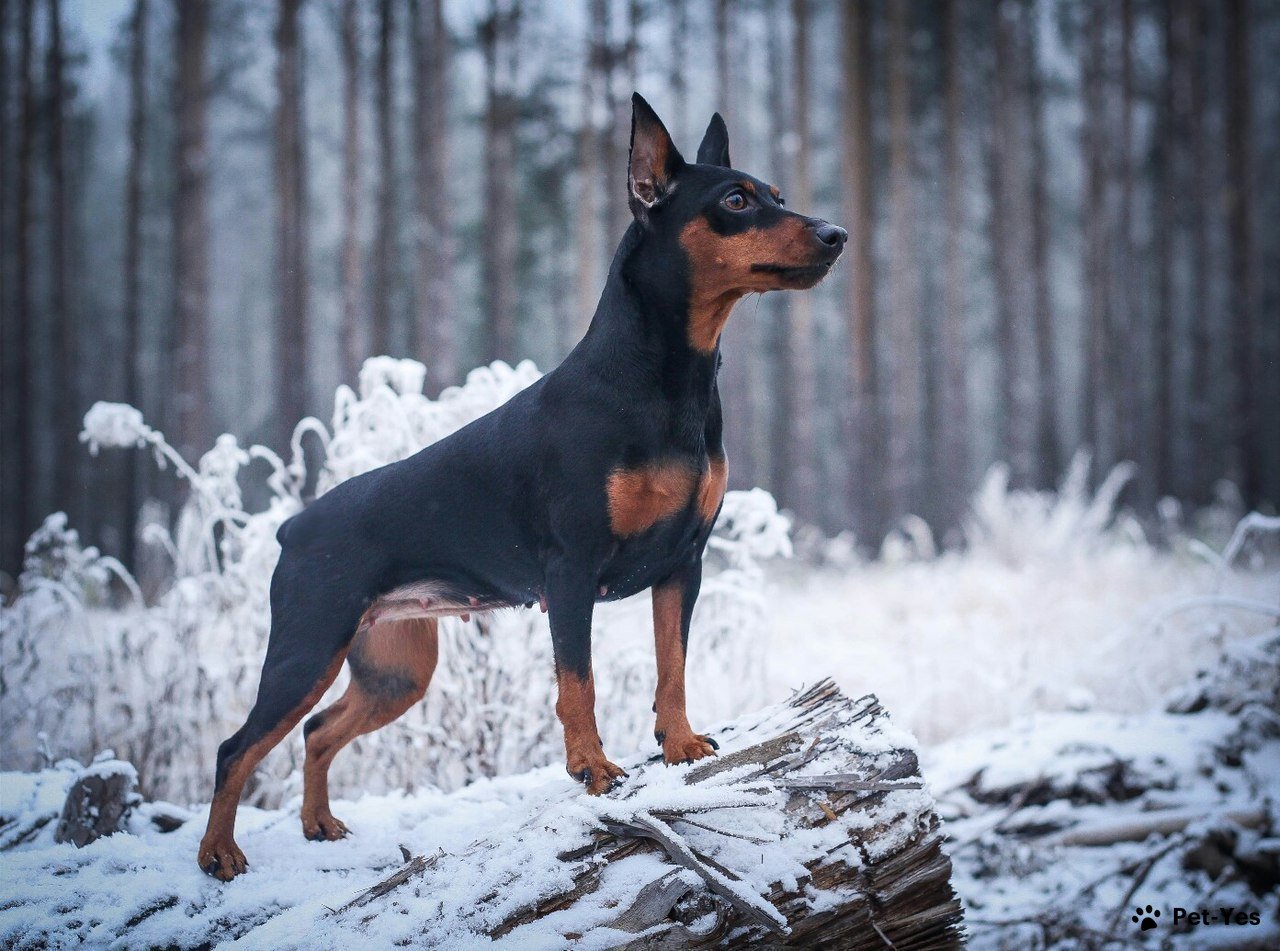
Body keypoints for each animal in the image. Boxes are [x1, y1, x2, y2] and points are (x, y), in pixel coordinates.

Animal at [197, 92, 839, 880]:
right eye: (737, 200)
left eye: (775, 194)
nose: (836, 234)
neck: (665, 381)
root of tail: (294, 526)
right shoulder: (570, 572)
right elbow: (577, 684)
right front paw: (593, 770)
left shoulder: (683, 563)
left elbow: (673, 665)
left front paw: (681, 743)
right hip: (310, 641)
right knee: (237, 746)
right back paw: (219, 852)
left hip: (395, 669)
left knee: (318, 728)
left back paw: (318, 823)